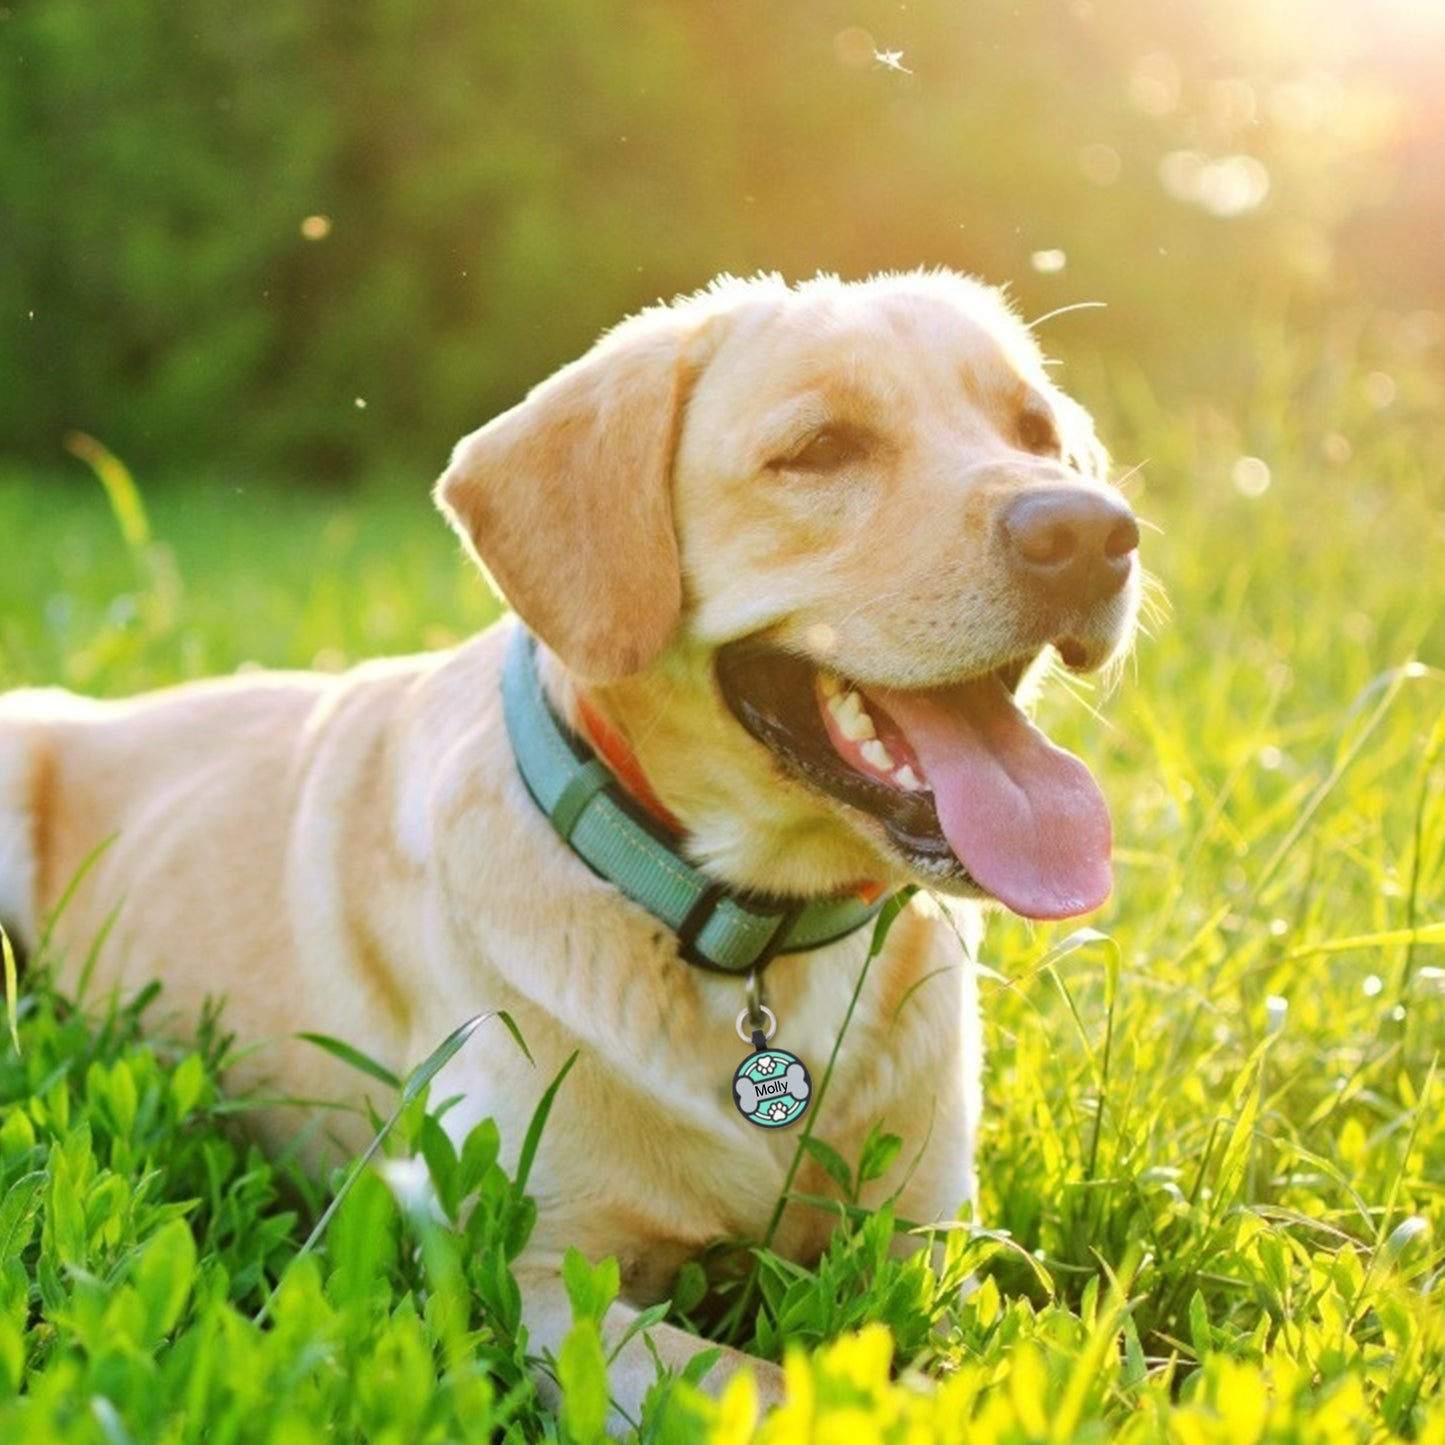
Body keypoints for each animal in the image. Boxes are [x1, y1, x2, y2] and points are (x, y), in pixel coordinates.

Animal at [2, 271, 1138, 1421]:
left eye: (1035, 432)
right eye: (820, 449)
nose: (1093, 531)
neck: (750, 943)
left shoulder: (925, 1245)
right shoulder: (538, 1275)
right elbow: (771, 1381)